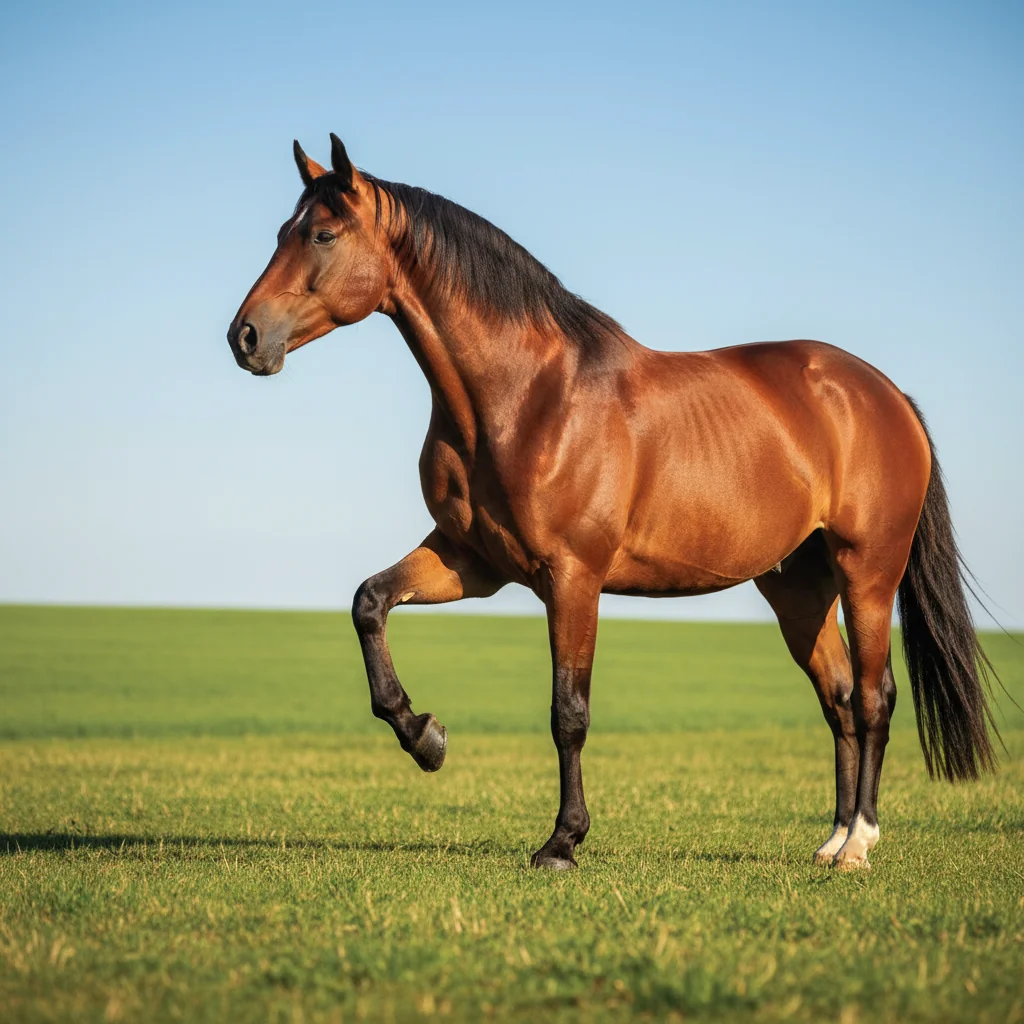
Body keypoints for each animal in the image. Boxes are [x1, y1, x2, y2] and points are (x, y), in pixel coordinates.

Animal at [227, 134, 999, 871]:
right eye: (284, 231)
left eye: (322, 235)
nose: (246, 337)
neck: (527, 396)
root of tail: (884, 394)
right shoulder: (471, 562)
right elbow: (370, 602)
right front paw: (425, 736)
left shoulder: (573, 577)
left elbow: (568, 712)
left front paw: (562, 843)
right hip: (798, 587)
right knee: (837, 698)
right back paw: (833, 840)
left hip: (868, 572)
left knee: (873, 698)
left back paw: (861, 843)